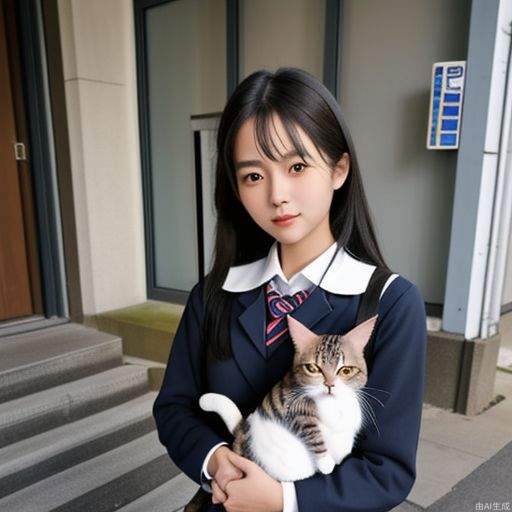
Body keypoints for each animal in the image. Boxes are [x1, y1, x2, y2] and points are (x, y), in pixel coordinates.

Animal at [184, 312, 380, 512]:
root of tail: (242, 430)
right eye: (313, 368)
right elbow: (311, 431)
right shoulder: (294, 406)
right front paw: (326, 461)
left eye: (345, 370)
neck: (332, 404)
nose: (330, 385)